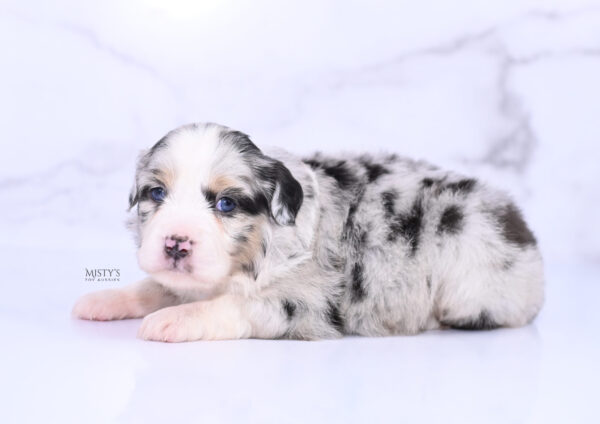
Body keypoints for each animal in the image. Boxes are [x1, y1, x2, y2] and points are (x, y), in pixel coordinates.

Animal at [74, 122, 544, 342]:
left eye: (226, 204)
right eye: (156, 192)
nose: (176, 244)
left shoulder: (307, 303)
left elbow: (236, 305)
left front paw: (173, 319)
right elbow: (153, 286)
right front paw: (103, 299)